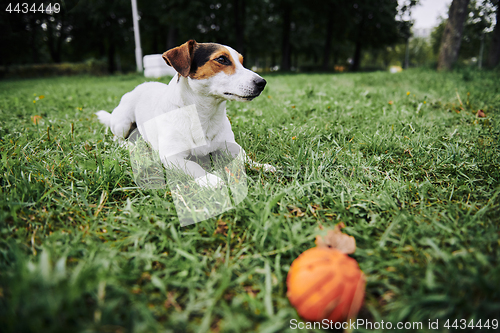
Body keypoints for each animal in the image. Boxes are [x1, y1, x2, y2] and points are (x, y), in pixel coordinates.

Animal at [95, 39, 276, 187]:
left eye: (242, 62)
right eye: (221, 59)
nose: (262, 82)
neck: (204, 115)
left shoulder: (229, 145)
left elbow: (243, 156)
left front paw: (259, 165)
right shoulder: (171, 156)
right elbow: (193, 166)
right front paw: (210, 179)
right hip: (122, 122)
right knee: (116, 138)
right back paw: (129, 145)